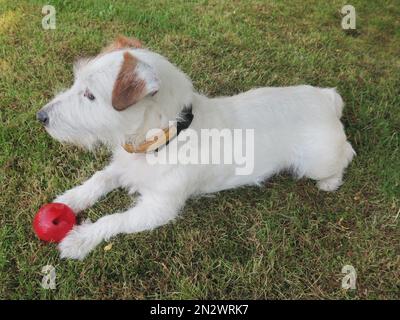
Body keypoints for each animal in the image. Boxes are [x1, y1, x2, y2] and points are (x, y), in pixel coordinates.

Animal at [37, 35, 354, 260]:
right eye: (77, 82)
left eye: (90, 95)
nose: (41, 117)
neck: (165, 138)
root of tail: (326, 99)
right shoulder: (123, 166)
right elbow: (99, 179)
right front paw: (70, 200)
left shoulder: (157, 208)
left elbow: (113, 219)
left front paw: (80, 239)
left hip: (317, 162)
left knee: (347, 153)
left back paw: (330, 182)